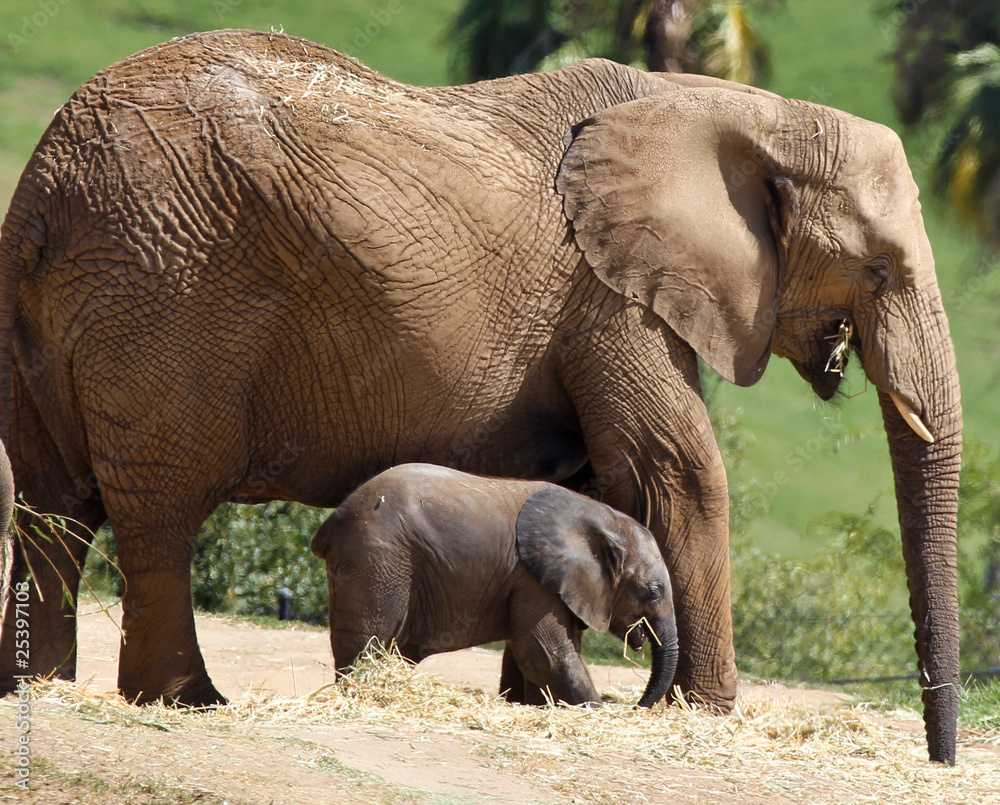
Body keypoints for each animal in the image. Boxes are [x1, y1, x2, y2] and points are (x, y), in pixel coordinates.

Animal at [309, 463, 679, 708]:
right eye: (652, 592)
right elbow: (545, 651)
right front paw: (597, 710)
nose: (636, 706)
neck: (604, 518)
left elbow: (527, 652)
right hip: (378, 558)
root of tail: (332, 522)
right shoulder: (534, 576)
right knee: (369, 640)